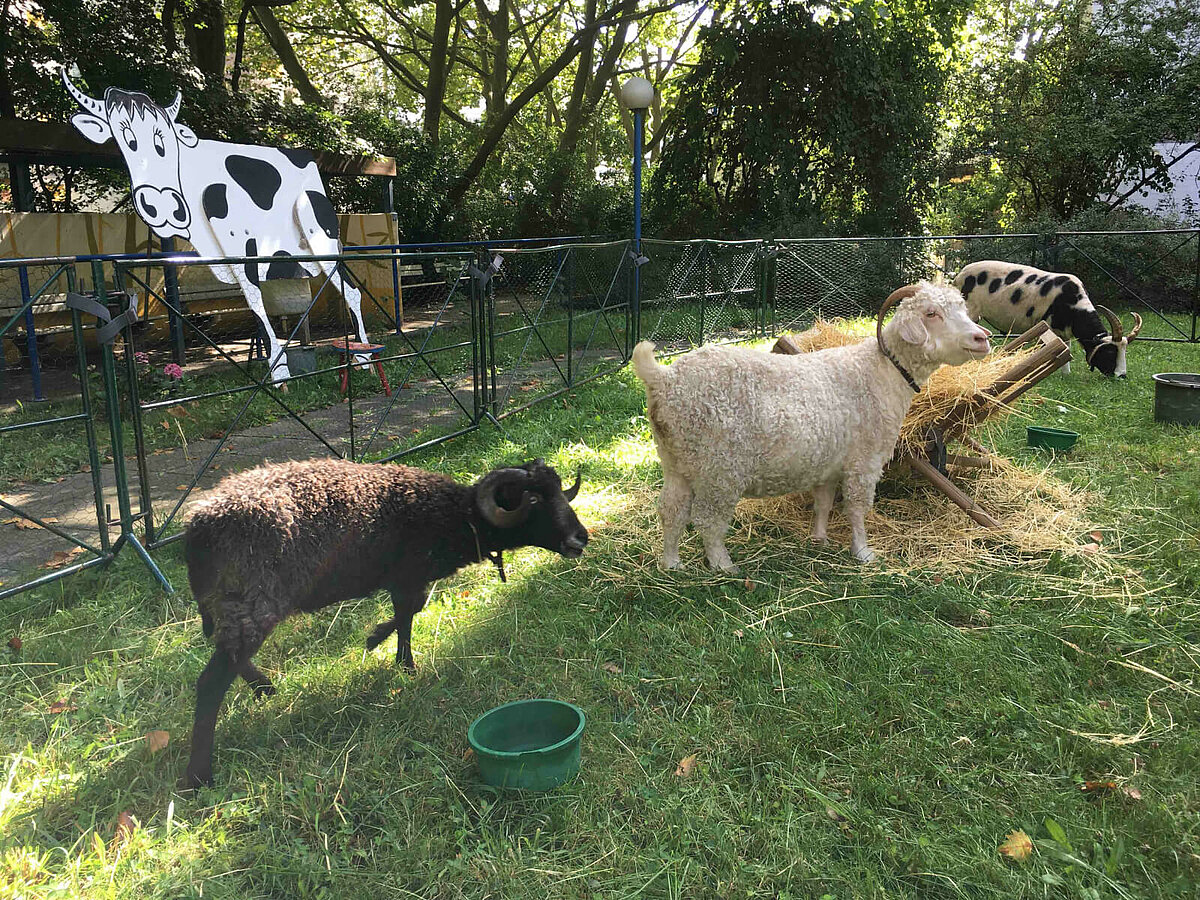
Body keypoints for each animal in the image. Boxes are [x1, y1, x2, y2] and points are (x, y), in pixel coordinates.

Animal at [64, 69, 364, 381]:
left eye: (164, 139)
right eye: (124, 137)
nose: (161, 204)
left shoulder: (242, 243)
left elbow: (255, 300)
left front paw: (279, 370)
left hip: (320, 237)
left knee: (352, 292)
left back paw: (364, 355)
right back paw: (361, 354)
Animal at [180, 458, 588, 787]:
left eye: (560, 491)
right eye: (534, 500)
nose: (580, 538)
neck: (458, 517)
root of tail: (197, 529)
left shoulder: (405, 578)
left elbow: (409, 614)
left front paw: (395, 657)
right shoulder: (407, 574)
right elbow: (410, 611)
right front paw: (384, 647)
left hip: (234, 605)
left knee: (229, 653)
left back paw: (264, 687)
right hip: (251, 599)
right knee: (211, 681)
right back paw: (200, 776)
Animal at [633, 283, 988, 571]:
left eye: (961, 309)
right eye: (931, 313)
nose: (982, 338)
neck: (882, 369)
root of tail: (665, 379)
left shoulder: (828, 464)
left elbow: (824, 502)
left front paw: (819, 539)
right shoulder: (864, 461)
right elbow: (857, 508)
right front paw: (863, 553)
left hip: (676, 461)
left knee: (672, 509)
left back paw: (671, 563)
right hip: (720, 466)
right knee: (707, 518)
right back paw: (723, 565)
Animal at [950, 260, 1137, 376]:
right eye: (1110, 351)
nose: (1121, 375)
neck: (1073, 303)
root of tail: (959, 275)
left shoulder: (1063, 331)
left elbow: (1066, 350)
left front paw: (1065, 374)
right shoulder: (1045, 326)